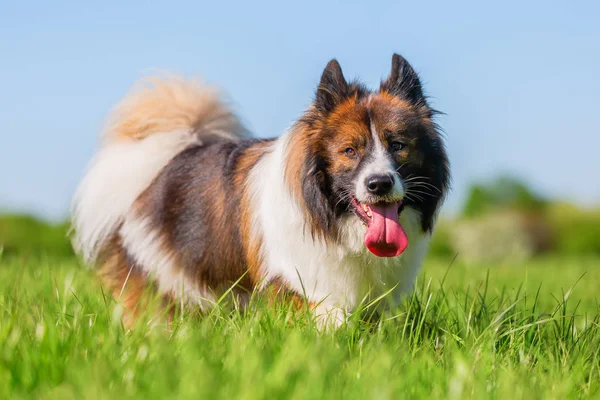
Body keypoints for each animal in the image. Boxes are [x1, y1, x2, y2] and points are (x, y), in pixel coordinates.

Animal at [70, 54, 448, 328]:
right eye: (350, 151)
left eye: (397, 145)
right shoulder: (296, 282)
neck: (330, 218)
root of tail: (167, 157)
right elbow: (329, 321)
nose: (379, 183)